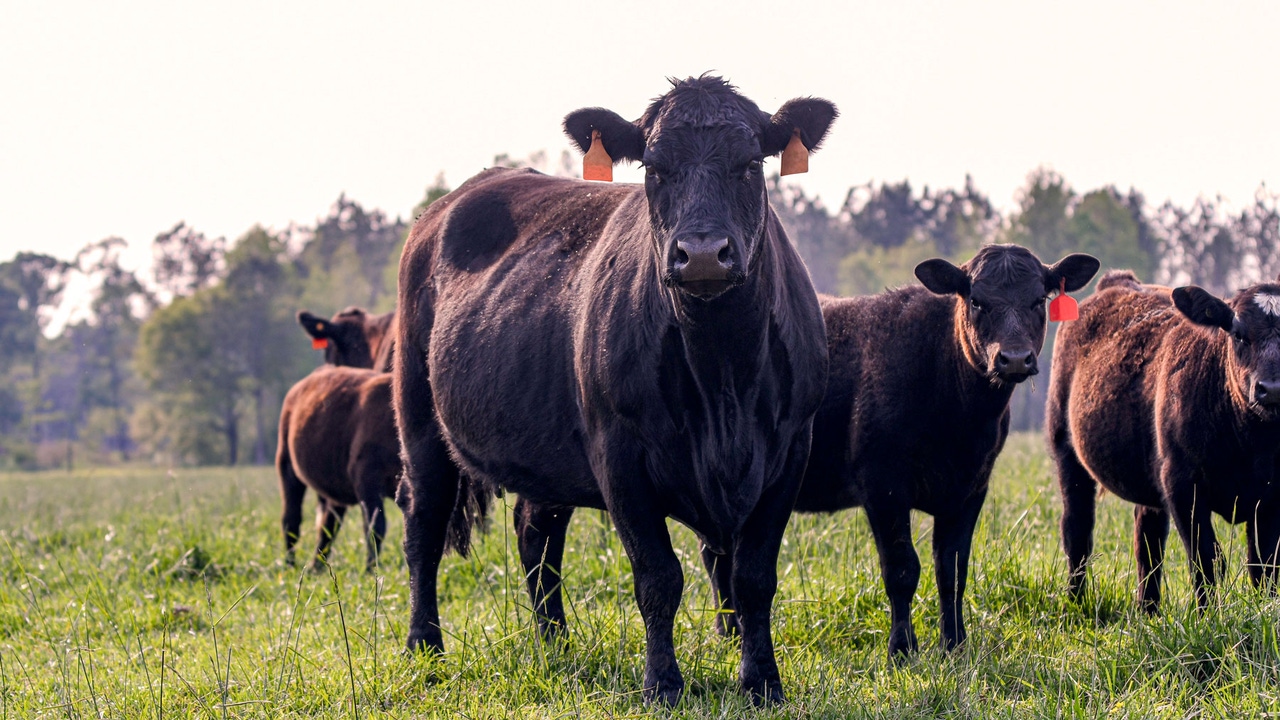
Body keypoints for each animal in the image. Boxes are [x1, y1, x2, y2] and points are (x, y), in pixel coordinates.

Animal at [275, 308, 400, 570]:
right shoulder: (366, 477)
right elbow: (375, 527)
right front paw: (371, 570)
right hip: (287, 465)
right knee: (291, 519)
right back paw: (291, 565)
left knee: (327, 524)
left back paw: (317, 566)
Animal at [393, 75, 836, 705]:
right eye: (654, 166)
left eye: (751, 164)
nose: (703, 253)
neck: (722, 377)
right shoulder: (619, 454)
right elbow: (658, 577)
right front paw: (663, 684)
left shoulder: (790, 448)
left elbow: (753, 577)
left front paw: (762, 682)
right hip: (419, 415)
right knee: (424, 524)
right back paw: (424, 645)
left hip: (541, 443)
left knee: (536, 535)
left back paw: (554, 643)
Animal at [1048, 270, 1280, 611]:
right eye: (1239, 334)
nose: (1272, 389)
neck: (1251, 447)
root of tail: (1119, 281)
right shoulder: (1181, 484)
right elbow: (1206, 559)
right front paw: (1209, 616)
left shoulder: (1270, 497)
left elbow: (1264, 565)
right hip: (1067, 451)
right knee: (1077, 532)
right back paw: (1076, 603)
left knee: (1148, 541)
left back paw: (1149, 610)